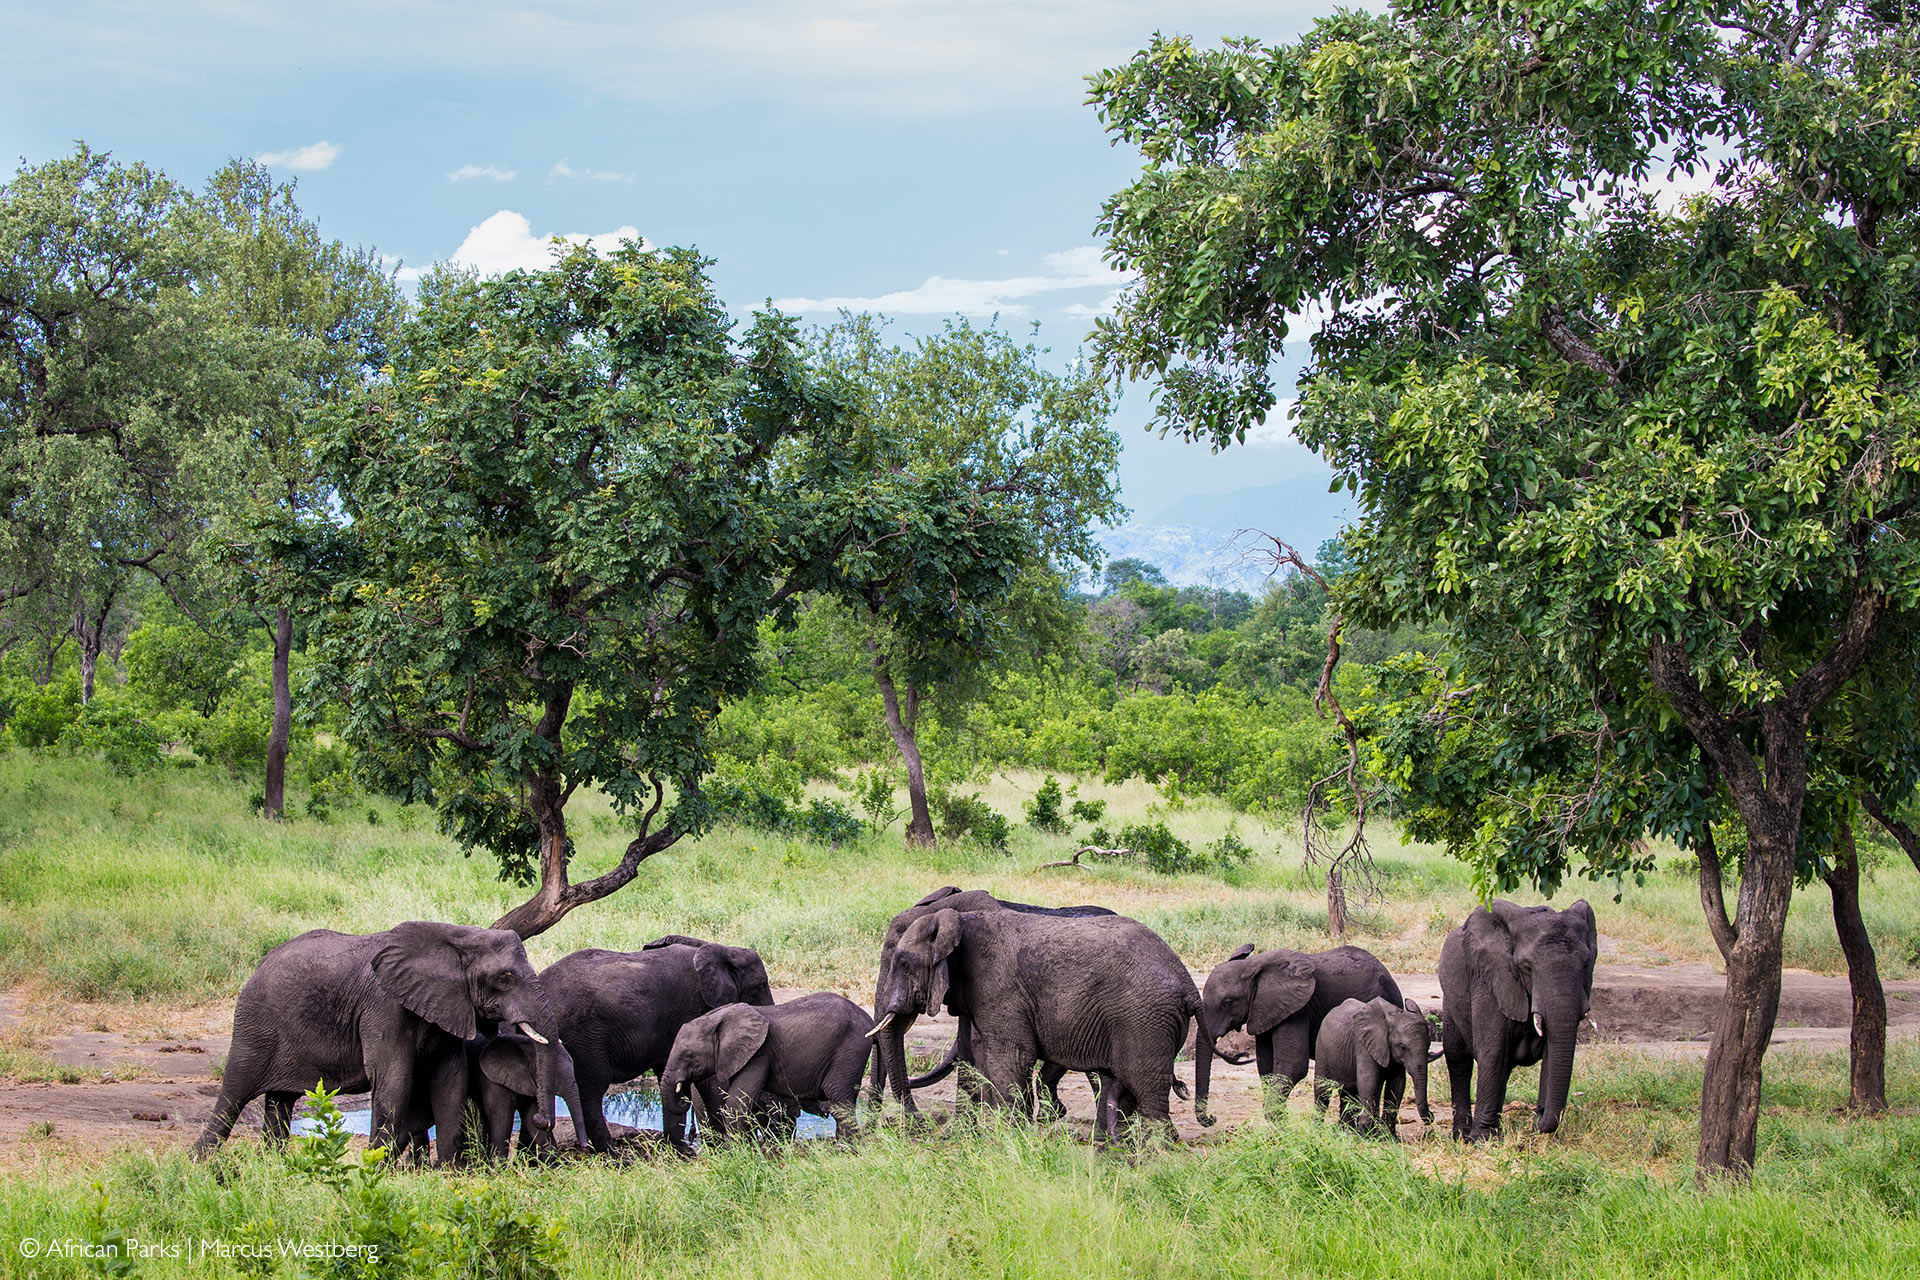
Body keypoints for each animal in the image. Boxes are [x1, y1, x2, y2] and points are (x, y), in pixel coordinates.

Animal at [191, 921, 572, 1159]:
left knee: (279, 1102)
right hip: (255, 1025)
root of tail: (258, 967)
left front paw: (451, 1171)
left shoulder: (447, 1007)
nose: (542, 1119)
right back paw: (200, 1165)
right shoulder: (385, 1005)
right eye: (504, 979)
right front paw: (380, 1169)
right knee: (234, 1093)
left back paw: (275, 1165)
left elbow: (450, 1078)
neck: (457, 938)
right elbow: (394, 1078)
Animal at [660, 990, 871, 1151]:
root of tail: (867, 1018)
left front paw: (739, 1153)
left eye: (689, 1055)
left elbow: (736, 1104)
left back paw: (846, 1149)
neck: (716, 1020)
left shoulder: (758, 1055)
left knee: (837, 1095)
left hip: (850, 1049)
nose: (682, 1094)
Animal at [875, 905, 1205, 1136]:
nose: (922, 1126)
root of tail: (1190, 986)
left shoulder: (999, 987)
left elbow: (1011, 1057)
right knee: (1122, 1088)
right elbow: (983, 1057)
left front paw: (1012, 1139)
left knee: (1146, 1089)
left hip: (1145, 1020)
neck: (958, 920)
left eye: (903, 964)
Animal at [1305, 997, 1443, 1143]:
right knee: (1322, 1090)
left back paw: (1345, 1133)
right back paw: (1318, 1132)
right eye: (1403, 1047)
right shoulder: (1364, 1044)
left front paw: (1389, 1138)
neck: (1392, 1018)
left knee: (1348, 1094)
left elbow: (1397, 1085)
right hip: (1322, 1048)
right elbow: (1368, 1081)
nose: (1432, 1115)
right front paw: (1364, 1137)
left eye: (1429, 1045)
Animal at [1443, 901, 1597, 1143]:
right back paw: (1462, 1136)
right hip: (1451, 1001)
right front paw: (1483, 1141)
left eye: (1586, 964)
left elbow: (1551, 1054)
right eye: (1526, 967)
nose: (1539, 1114)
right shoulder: (1489, 982)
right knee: (1459, 1059)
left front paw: (1540, 1136)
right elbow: (1494, 1051)